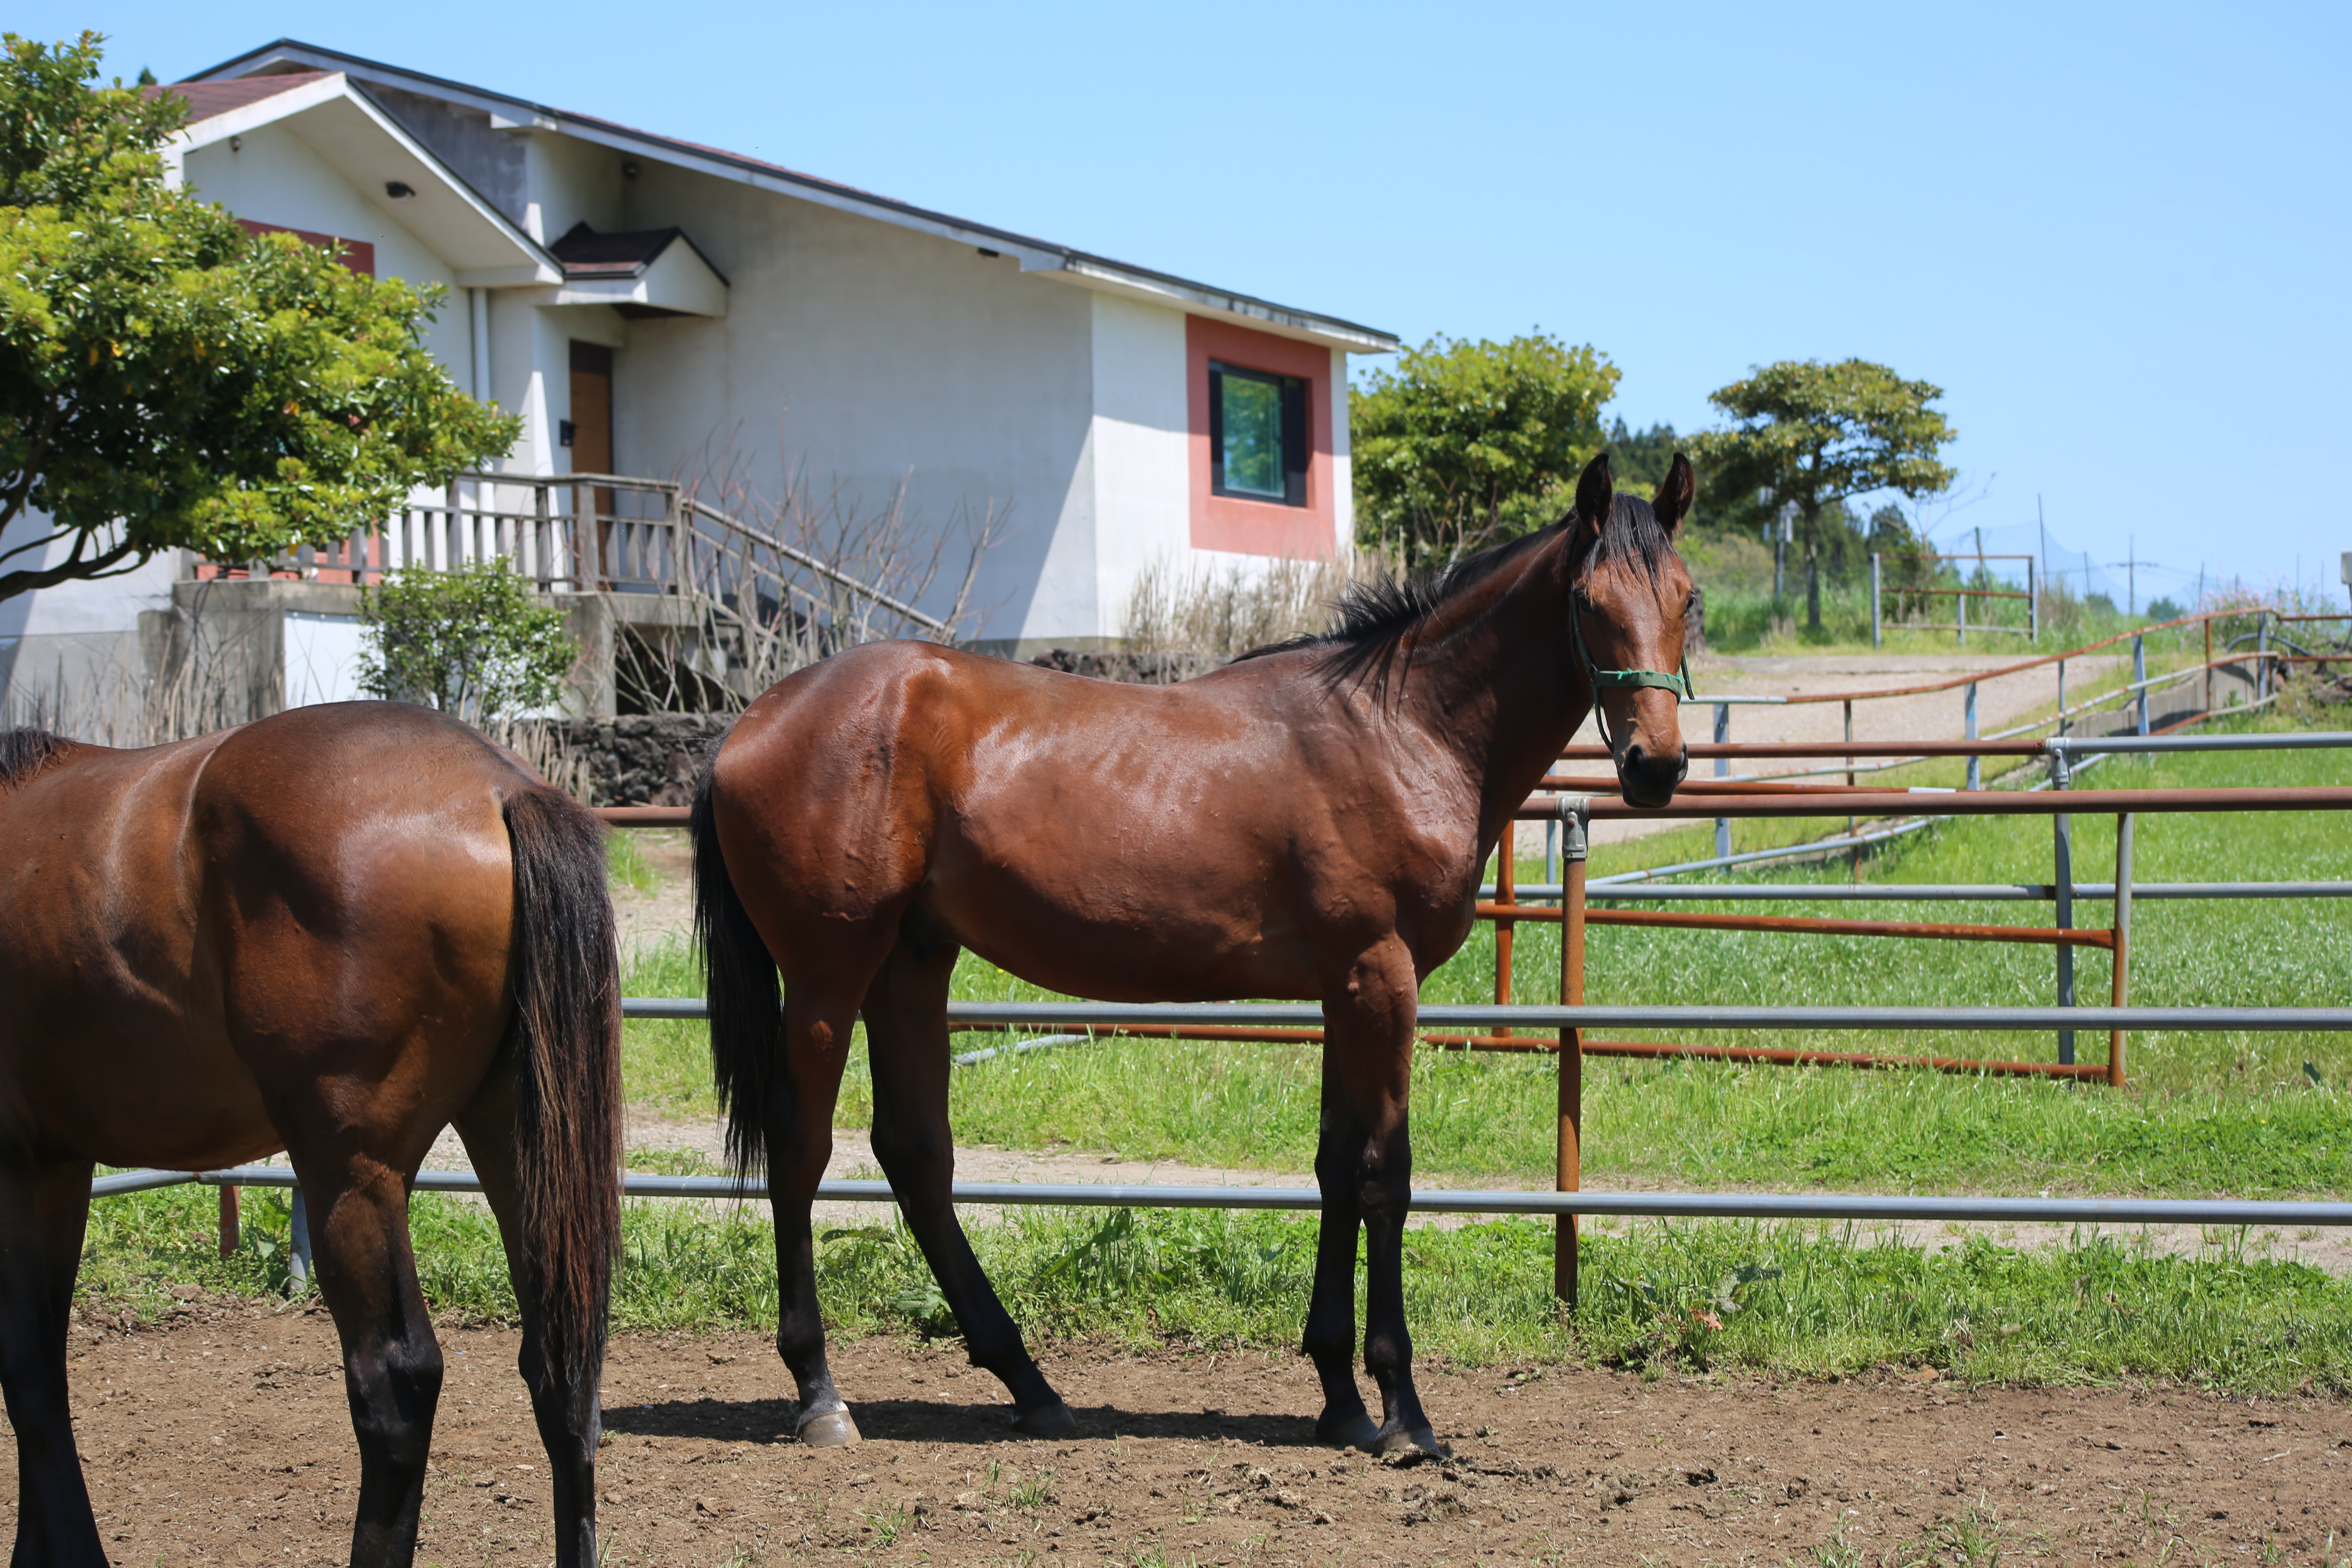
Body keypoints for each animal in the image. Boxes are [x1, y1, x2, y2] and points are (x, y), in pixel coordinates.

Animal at [0, 710, 621, 1568]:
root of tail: (504, 787)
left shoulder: (16, 1166)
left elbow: (25, 1370)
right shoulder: (52, 1167)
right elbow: (41, 1364)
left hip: (348, 1175)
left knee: (397, 1383)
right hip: (513, 1145)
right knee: (562, 1369)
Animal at [686, 454, 1703, 1457]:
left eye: (1686, 598)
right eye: (1589, 600)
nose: (1655, 767)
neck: (1401, 729)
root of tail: (748, 723)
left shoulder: (1344, 991)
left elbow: (1336, 1167)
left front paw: (1339, 1398)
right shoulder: (1382, 979)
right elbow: (1385, 1175)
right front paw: (1403, 1412)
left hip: (911, 965)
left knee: (916, 1154)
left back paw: (1030, 1386)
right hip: (828, 975)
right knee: (801, 1148)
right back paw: (822, 1396)